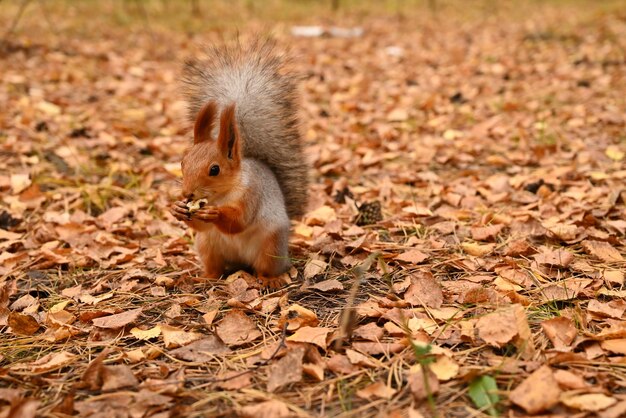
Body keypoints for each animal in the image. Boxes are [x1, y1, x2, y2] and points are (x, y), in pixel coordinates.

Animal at [169, 40, 308, 286]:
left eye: (215, 169)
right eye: (183, 163)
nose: (187, 194)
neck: (221, 195)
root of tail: (241, 262)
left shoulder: (252, 193)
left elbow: (239, 221)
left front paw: (216, 214)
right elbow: (200, 225)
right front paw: (178, 209)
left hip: (271, 246)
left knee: (265, 267)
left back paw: (270, 279)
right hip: (207, 245)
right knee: (215, 268)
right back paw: (204, 278)